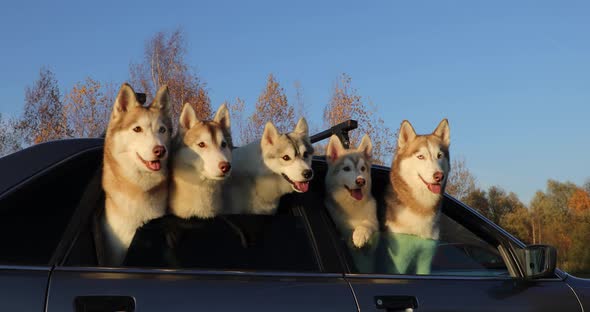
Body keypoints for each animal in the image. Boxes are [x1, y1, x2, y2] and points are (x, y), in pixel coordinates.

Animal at [382, 118, 450, 274]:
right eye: (420, 156)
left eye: (439, 155)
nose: (439, 176)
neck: (421, 207)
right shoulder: (399, 262)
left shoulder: (425, 259)